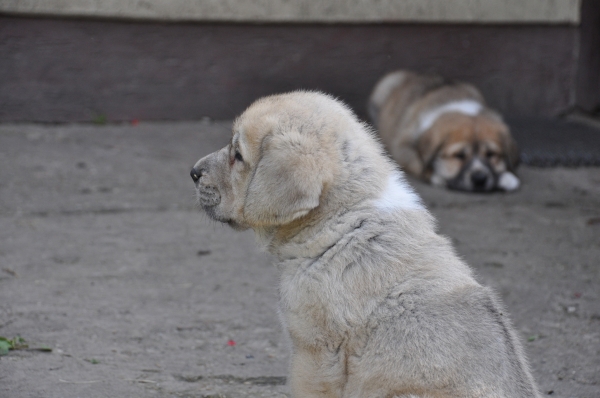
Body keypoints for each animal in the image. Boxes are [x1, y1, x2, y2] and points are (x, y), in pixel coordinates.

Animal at [368, 70, 516, 193]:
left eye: (491, 154)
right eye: (459, 156)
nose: (479, 179)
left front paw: (507, 177)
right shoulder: (402, 147)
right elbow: (421, 165)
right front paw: (439, 177)